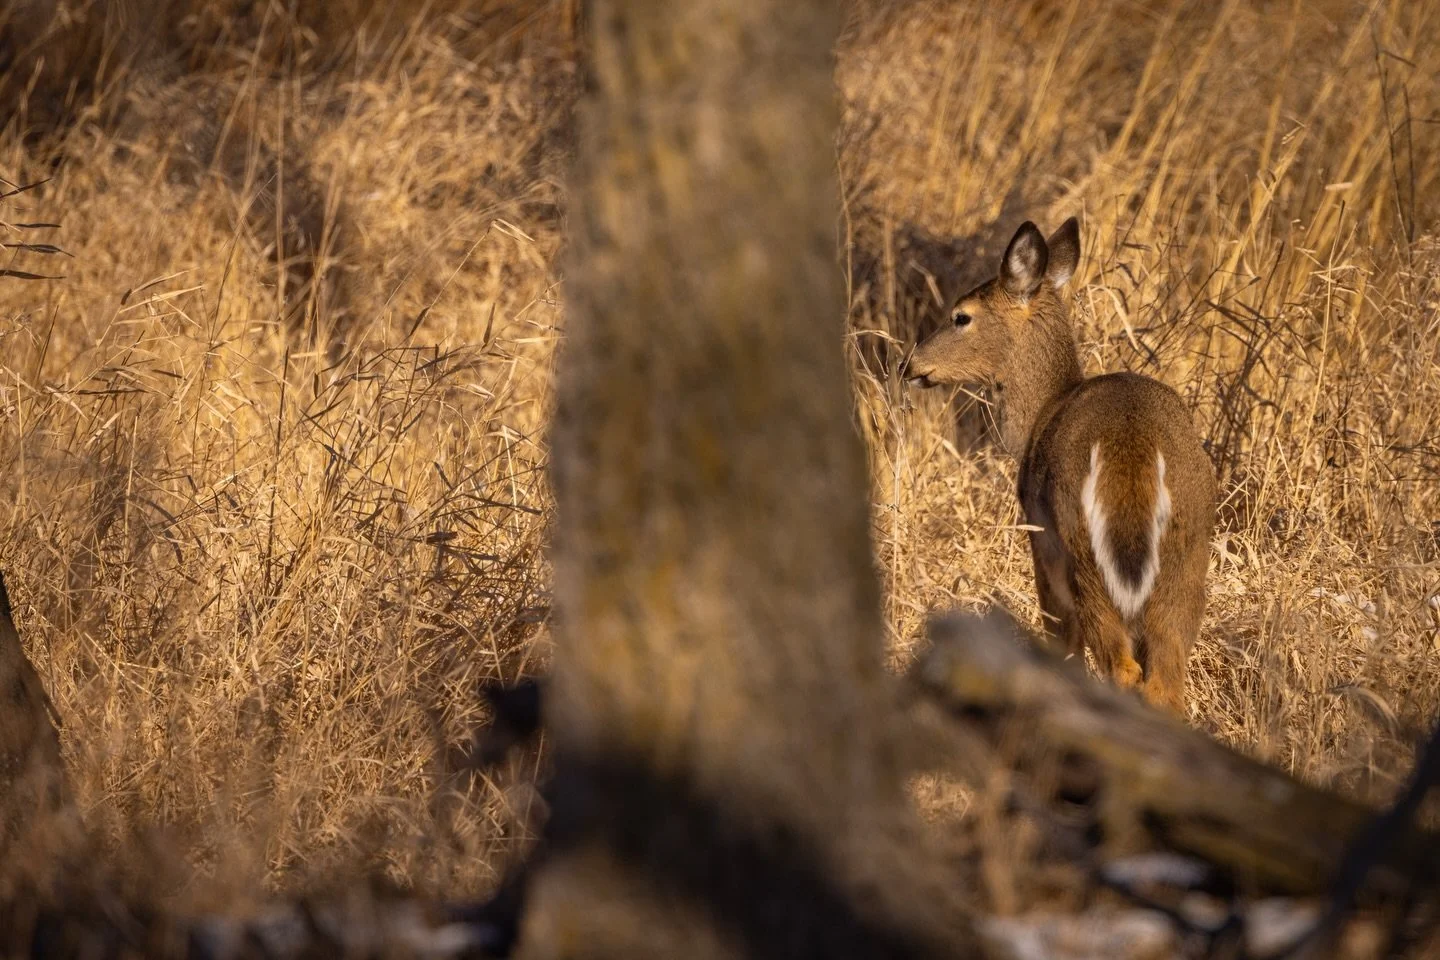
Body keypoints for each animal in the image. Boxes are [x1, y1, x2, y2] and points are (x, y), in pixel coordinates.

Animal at [901, 218, 1215, 714]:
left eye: (961, 316)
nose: (909, 363)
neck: (1041, 410)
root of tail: (1133, 451)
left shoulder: (1039, 542)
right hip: (1188, 560)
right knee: (1165, 681)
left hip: (1081, 553)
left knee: (1122, 668)